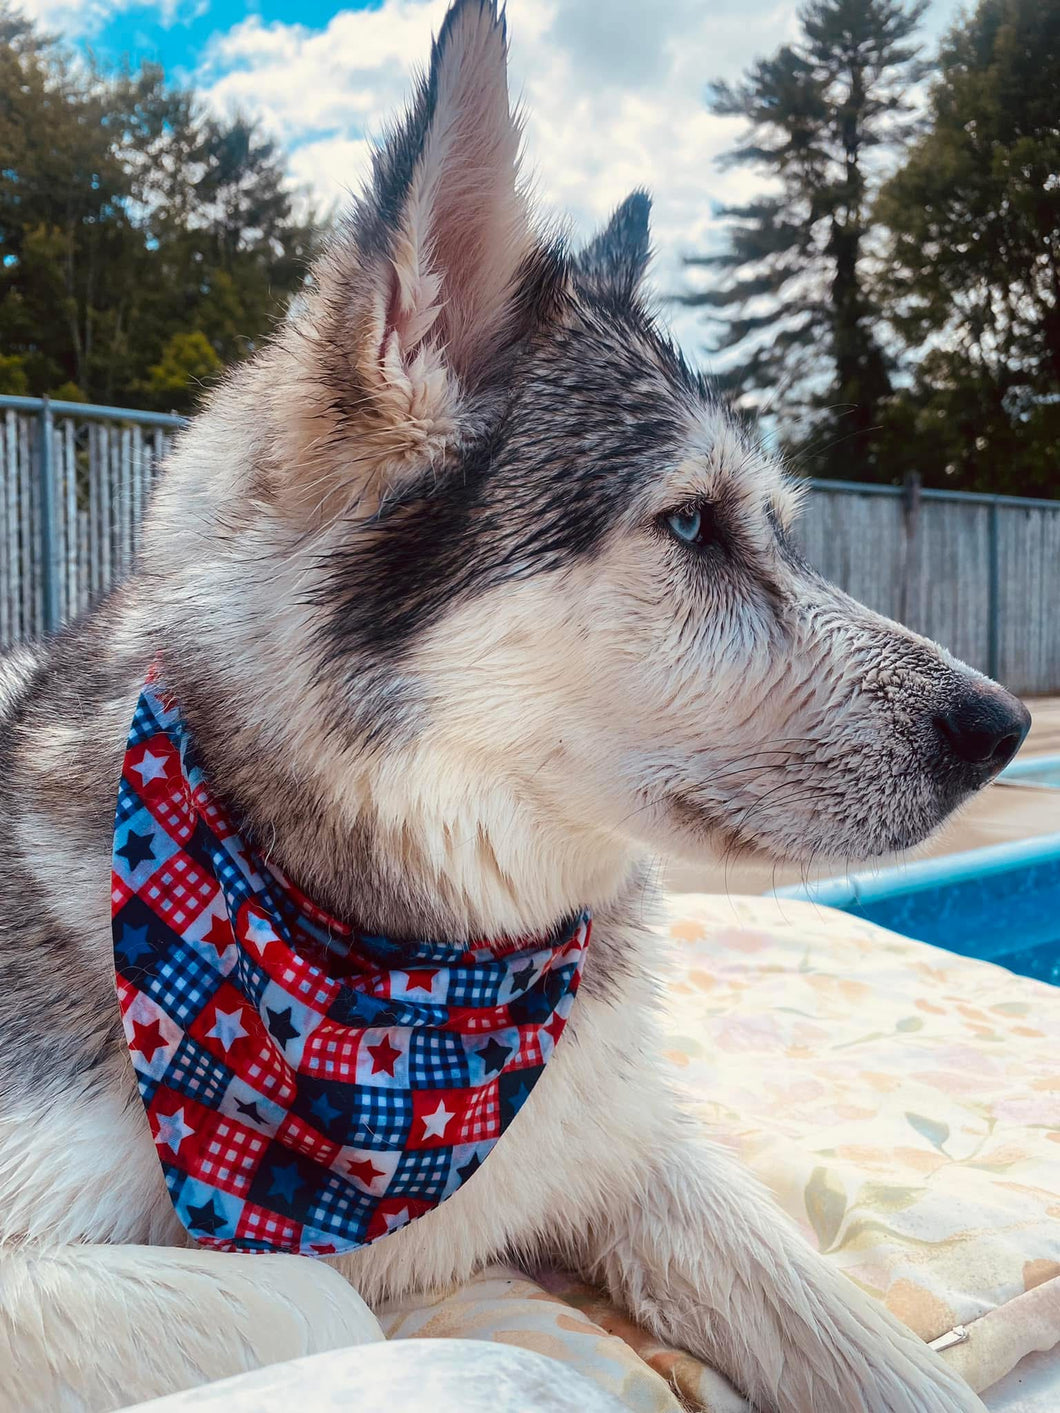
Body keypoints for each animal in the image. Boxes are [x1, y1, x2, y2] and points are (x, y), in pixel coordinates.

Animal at [0, 2, 1028, 1413]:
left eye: (775, 529)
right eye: (690, 526)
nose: (1003, 728)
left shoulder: (627, 1148)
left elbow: (874, 1349)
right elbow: (357, 1310)